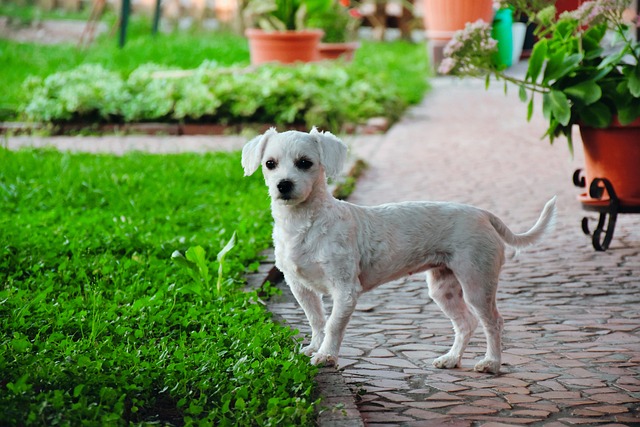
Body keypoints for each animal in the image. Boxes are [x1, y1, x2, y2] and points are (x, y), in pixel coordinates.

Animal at [241, 127, 556, 374]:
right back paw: (451, 359)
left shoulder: (345, 290)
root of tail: (483, 214)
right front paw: (315, 347)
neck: (306, 224)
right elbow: (317, 321)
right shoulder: (300, 287)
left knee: (493, 322)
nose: (283, 185)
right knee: (466, 324)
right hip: (444, 288)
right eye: (270, 164)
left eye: (305, 163)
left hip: (478, 283)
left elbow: (332, 324)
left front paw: (327, 356)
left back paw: (491, 363)